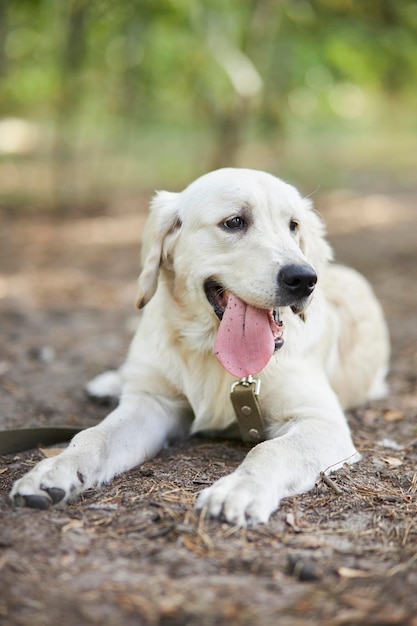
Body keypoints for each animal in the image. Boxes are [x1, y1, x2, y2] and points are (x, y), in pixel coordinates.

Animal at [9, 168, 388, 524]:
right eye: (234, 222)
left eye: (294, 225)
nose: (304, 279)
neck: (210, 352)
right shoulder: (152, 404)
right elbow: (93, 436)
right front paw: (53, 471)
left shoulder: (321, 420)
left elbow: (270, 450)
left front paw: (238, 489)